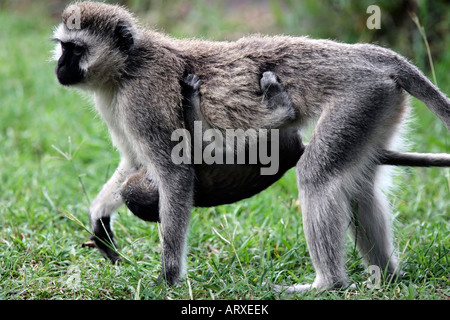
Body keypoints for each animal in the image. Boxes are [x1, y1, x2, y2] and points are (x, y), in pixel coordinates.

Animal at [53, 1, 450, 290]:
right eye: (63, 47)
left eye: (76, 49)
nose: (59, 67)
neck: (127, 67)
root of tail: (367, 55)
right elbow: (134, 162)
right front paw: (99, 216)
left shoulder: (142, 99)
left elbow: (173, 172)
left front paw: (168, 278)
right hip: (378, 105)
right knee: (359, 188)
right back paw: (386, 276)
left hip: (358, 97)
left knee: (316, 176)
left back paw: (328, 283)